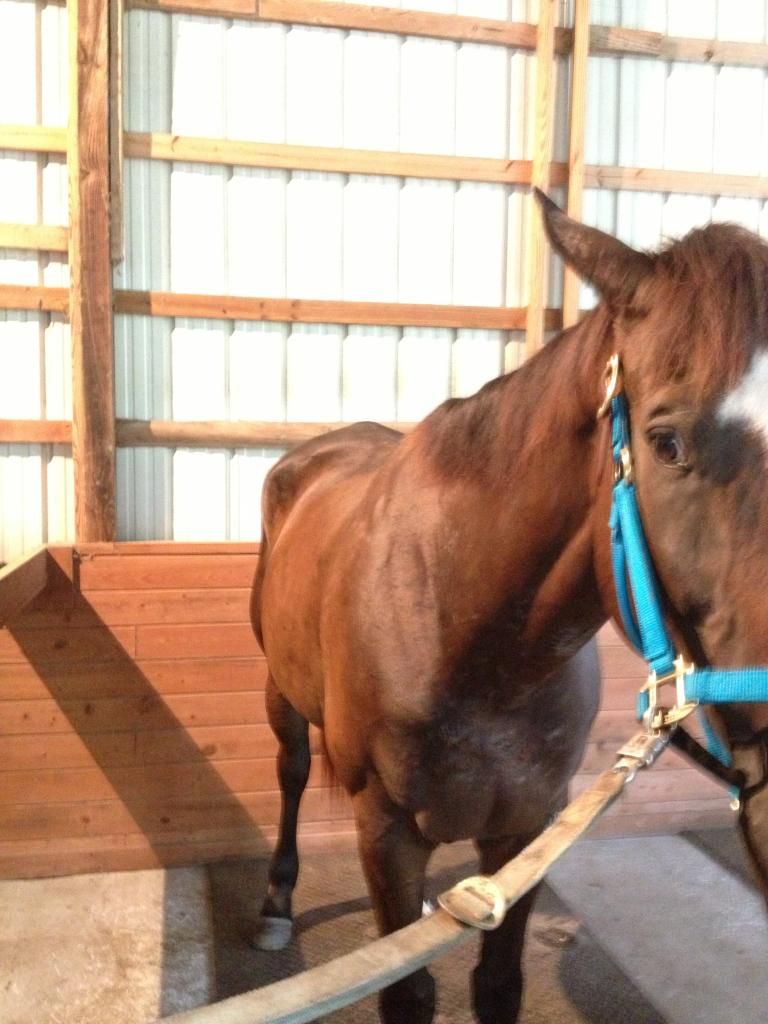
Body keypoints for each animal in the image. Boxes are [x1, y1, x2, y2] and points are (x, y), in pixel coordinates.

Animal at [250, 190, 768, 1023]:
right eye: (666, 442)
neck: (468, 640)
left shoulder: (527, 829)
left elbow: (498, 984)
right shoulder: (385, 833)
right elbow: (408, 992)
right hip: (281, 693)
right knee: (292, 773)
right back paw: (274, 904)